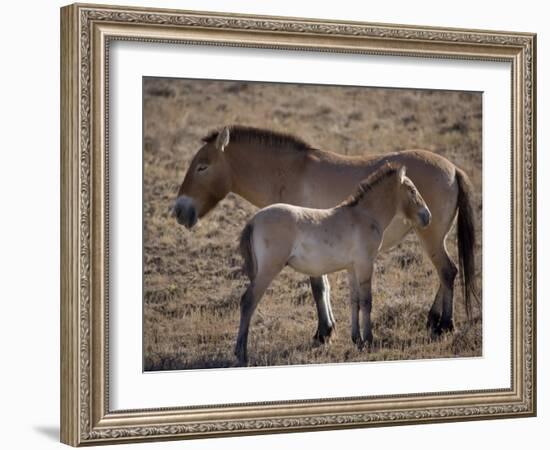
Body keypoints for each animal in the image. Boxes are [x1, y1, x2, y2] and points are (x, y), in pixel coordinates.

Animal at [174, 125, 478, 340]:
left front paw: (324, 332)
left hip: (431, 236)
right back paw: (433, 319)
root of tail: (453, 169)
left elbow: (318, 286)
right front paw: (332, 329)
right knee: (445, 273)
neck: (291, 173)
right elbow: (326, 287)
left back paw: (444, 325)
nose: (178, 211)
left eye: (202, 167)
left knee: (447, 271)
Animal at [235, 163, 434, 364]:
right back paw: (241, 354)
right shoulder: (365, 265)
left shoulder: (352, 268)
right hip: (268, 270)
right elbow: (367, 301)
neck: (364, 215)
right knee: (248, 302)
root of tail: (253, 220)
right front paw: (369, 340)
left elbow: (355, 301)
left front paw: (357, 339)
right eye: (412, 190)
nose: (427, 216)